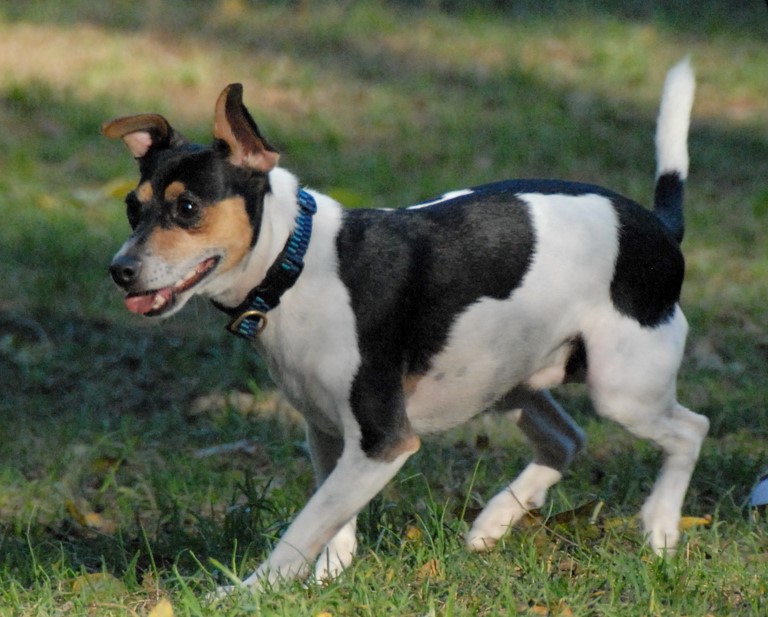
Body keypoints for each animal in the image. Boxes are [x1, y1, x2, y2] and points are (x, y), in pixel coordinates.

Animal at [103, 59, 708, 592]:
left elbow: (303, 529)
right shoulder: (330, 434)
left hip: (621, 389)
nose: (120, 270)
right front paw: (329, 578)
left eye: (187, 209)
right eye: (133, 209)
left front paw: (249, 592)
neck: (295, 264)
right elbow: (331, 518)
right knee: (566, 438)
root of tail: (660, 228)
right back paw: (494, 521)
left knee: (690, 429)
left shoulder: (382, 440)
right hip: (506, 379)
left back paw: (659, 528)